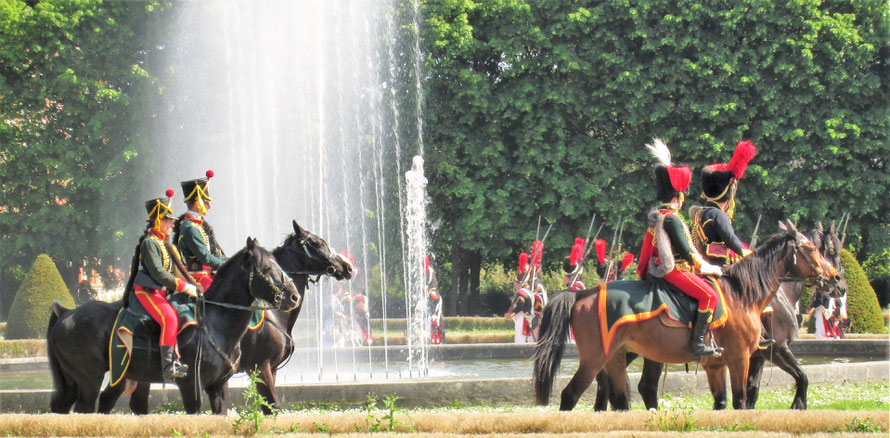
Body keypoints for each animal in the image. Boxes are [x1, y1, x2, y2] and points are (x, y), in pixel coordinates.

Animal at [46, 238, 300, 416]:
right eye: (266, 268)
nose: (293, 296)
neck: (216, 321)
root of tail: (65, 312)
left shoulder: (218, 386)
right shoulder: (192, 386)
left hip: (90, 378)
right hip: (90, 378)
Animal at [536, 221, 840, 412]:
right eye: (816, 249)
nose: (837, 280)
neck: (744, 294)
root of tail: (583, 293)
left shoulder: (722, 364)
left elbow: (727, 402)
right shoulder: (748, 356)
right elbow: (745, 399)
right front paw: (798, 404)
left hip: (620, 356)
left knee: (623, 395)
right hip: (597, 357)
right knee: (572, 394)